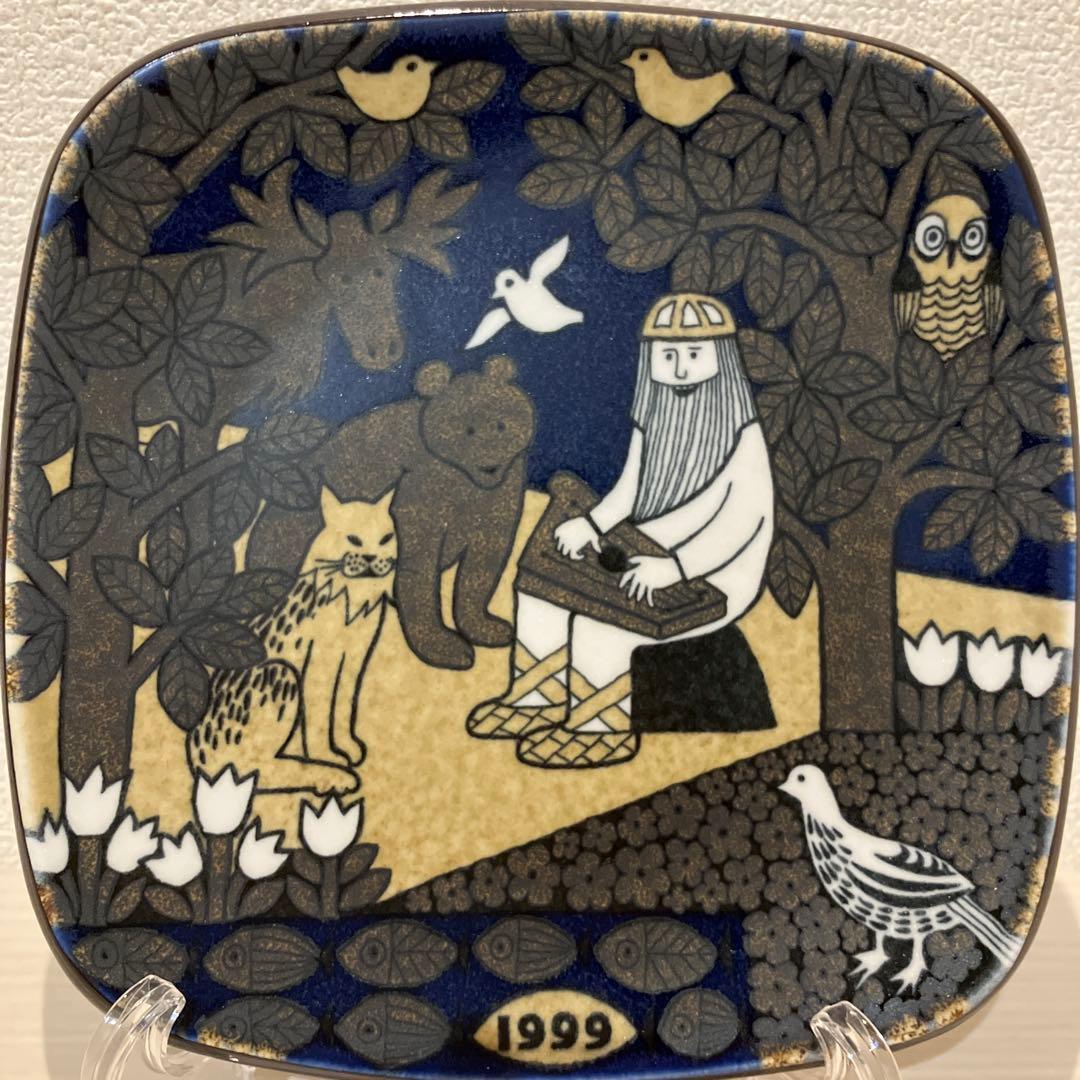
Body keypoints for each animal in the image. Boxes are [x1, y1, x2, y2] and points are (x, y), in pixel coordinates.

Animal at [187, 486, 397, 794]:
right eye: (353, 538)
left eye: (385, 538)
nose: (370, 557)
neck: (351, 597)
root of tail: (196, 761)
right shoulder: (320, 658)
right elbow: (320, 711)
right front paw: (328, 756)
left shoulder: (356, 657)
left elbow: (343, 705)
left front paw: (347, 747)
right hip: (280, 672)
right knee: (250, 770)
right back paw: (330, 776)